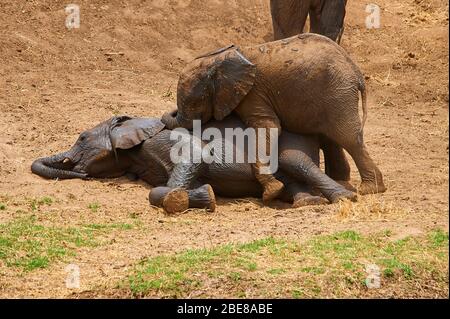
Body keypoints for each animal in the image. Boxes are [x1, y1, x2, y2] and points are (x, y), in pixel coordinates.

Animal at [31, 114, 356, 214]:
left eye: (83, 137)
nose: (81, 174)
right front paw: (203, 194)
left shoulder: (168, 140)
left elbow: (196, 158)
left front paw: (202, 197)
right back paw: (307, 202)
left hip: (291, 142)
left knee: (297, 161)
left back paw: (344, 198)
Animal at [162, 33, 386, 199]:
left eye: (195, 103)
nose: (171, 112)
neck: (219, 60)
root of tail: (357, 72)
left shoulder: (253, 94)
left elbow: (269, 127)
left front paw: (272, 192)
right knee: (330, 137)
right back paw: (344, 182)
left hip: (338, 92)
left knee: (347, 137)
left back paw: (370, 189)